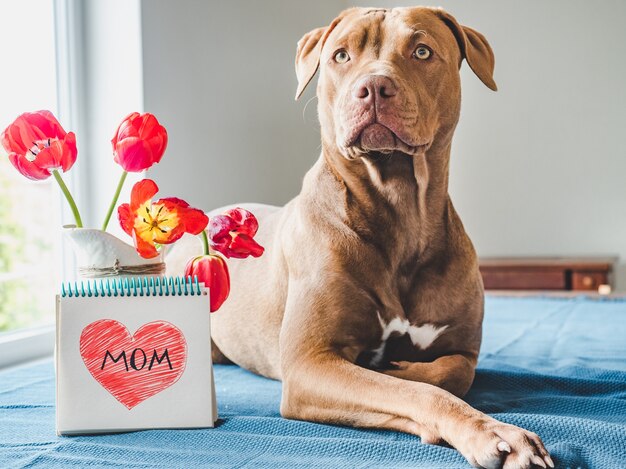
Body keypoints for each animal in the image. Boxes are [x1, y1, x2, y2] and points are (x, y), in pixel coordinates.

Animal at [167, 5, 552, 466]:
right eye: (340, 56)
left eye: (422, 51)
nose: (373, 87)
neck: (401, 210)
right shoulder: (311, 364)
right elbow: (420, 393)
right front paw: (495, 434)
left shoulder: (463, 348)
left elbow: (453, 371)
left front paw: (403, 368)